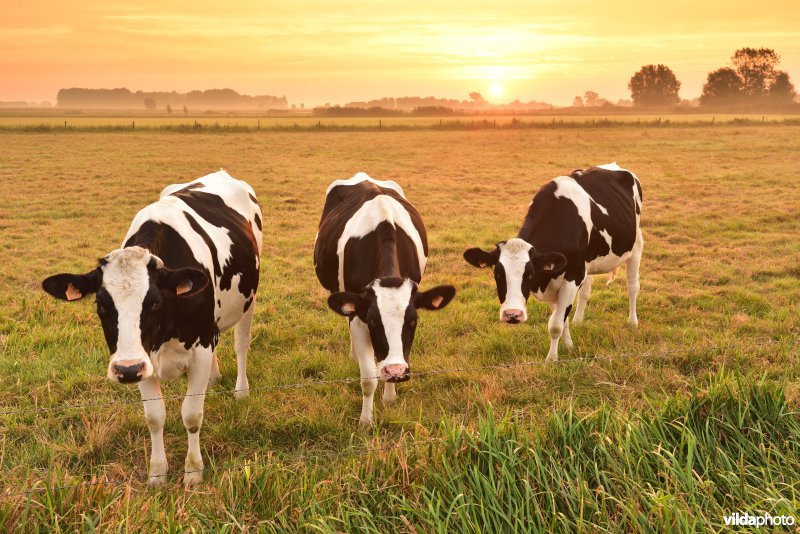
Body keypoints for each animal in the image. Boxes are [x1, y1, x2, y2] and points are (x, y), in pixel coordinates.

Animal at [41, 170, 262, 488]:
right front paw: (157, 473)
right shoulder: (142, 358)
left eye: (155, 302)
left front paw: (193, 472)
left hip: (249, 300)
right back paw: (214, 378)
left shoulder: (200, 346)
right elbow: (155, 416)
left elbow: (192, 414)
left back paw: (241, 390)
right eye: (101, 305)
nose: (126, 370)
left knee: (241, 343)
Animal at [316, 174, 460, 430]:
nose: (396, 371)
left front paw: (390, 398)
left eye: (413, 321)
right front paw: (366, 421)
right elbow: (368, 378)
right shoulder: (359, 313)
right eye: (374, 322)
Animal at [462, 163, 644, 364]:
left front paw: (552, 359)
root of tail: (614, 166)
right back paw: (578, 320)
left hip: (636, 246)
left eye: (529, 274)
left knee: (632, 286)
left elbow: (556, 324)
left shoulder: (573, 275)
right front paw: (569, 345)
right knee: (586, 291)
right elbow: (562, 317)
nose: (513, 315)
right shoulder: (555, 279)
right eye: (497, 274)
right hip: (589, 264)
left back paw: (632, 322)